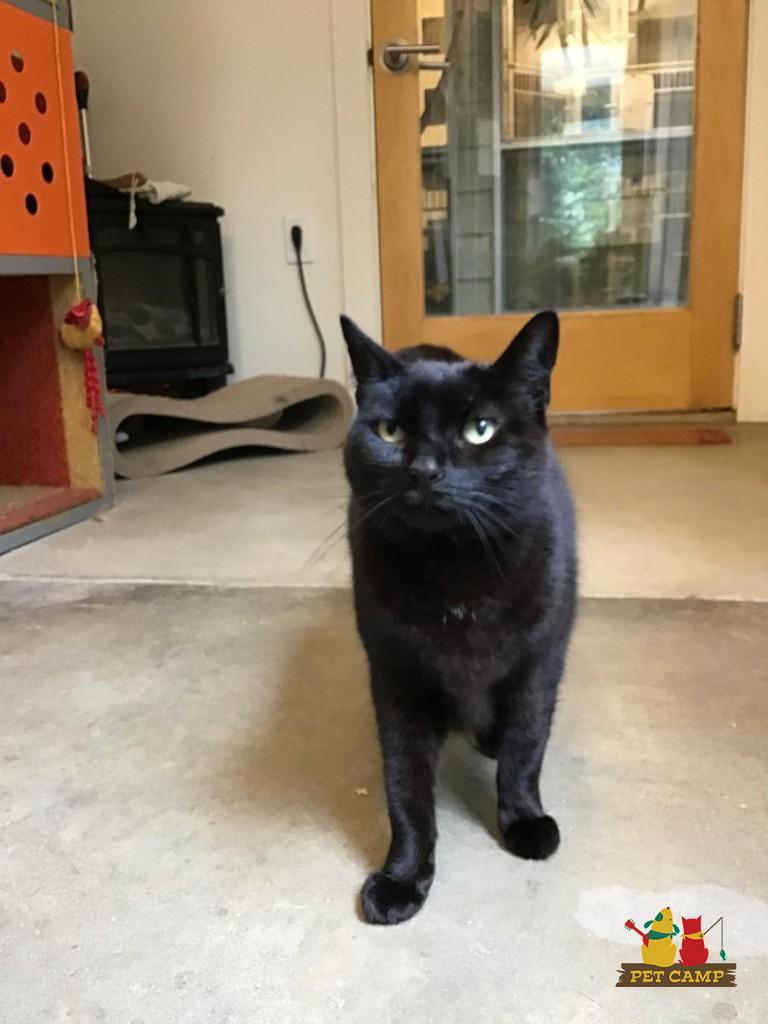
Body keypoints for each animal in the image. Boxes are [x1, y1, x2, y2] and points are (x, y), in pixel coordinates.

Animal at [340, 310, 577, 925]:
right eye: (389, 432)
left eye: (480, 429)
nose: (423, 470)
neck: (456, 574)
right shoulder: (396, 677)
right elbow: (404, 785)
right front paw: (402, 878)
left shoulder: (538, 663)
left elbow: (526, 746)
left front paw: (524, 820)